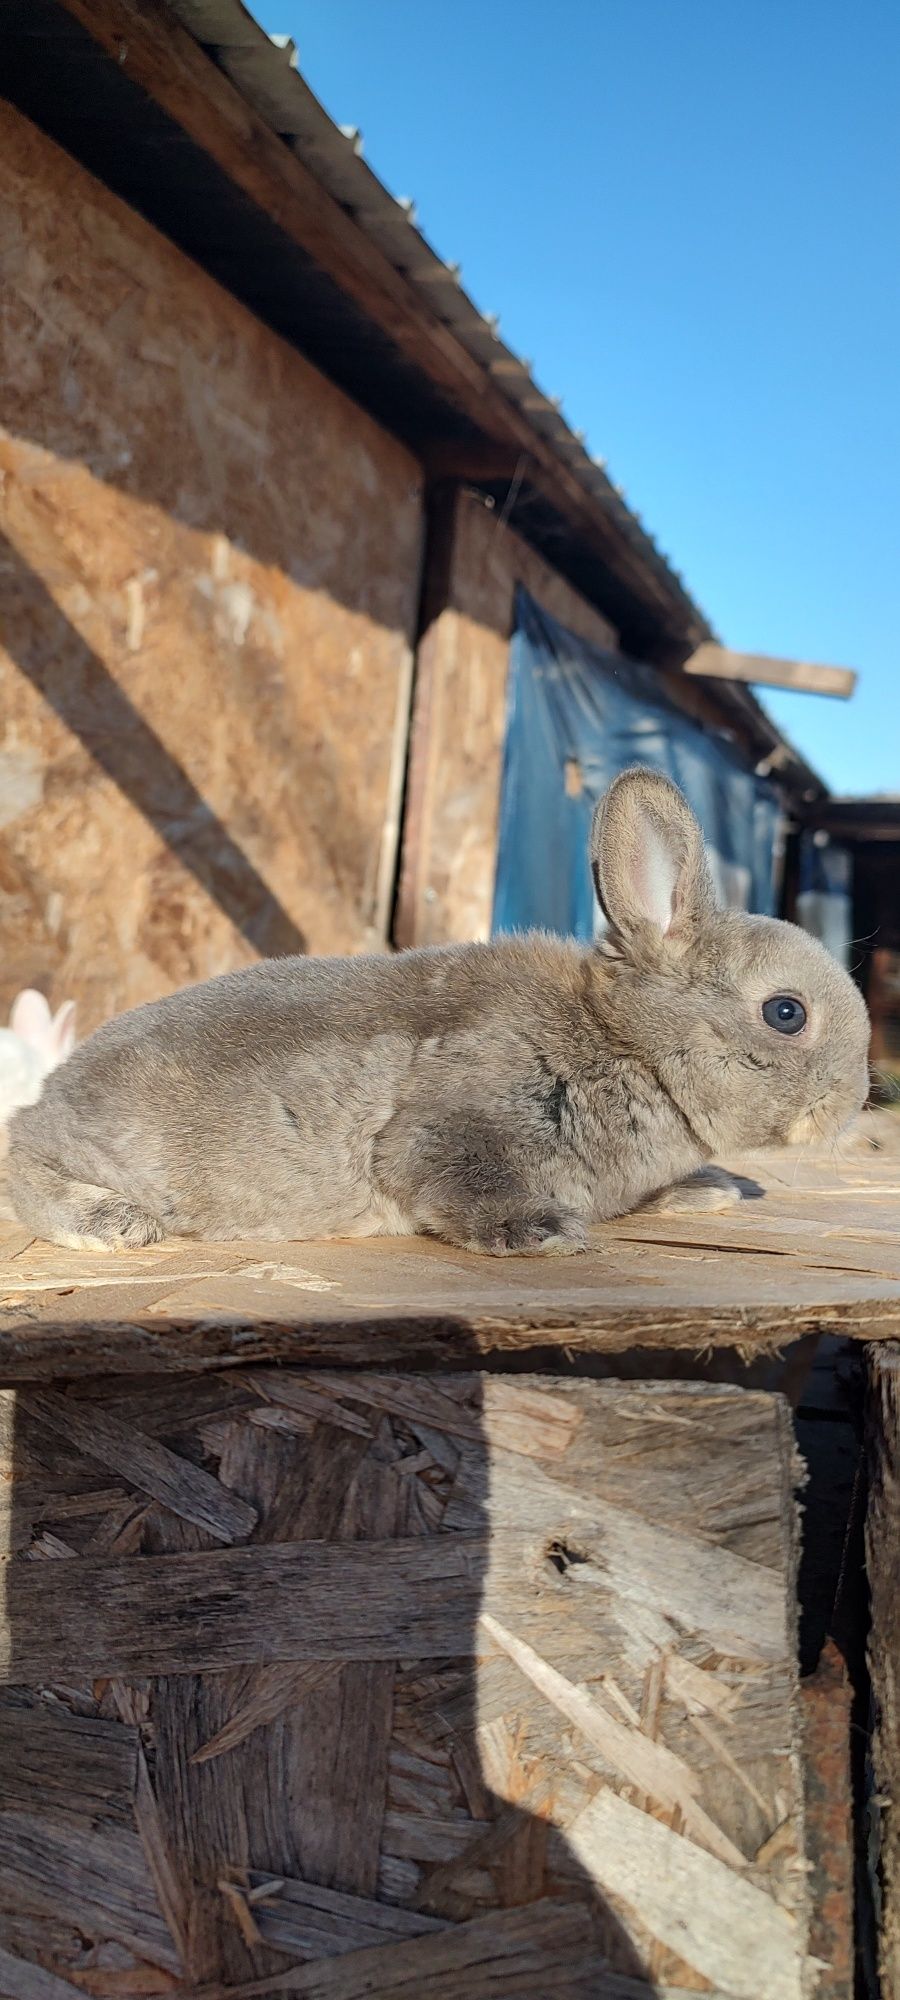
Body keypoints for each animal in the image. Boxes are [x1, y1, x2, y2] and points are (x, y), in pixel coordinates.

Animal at [3, 764, 868, 1248]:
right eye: (786, 1013)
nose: (856, 1098)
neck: (631, 1044)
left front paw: (710, 1190)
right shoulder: (456, 1123)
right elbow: (448, 1177)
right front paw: (541, 1234)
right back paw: (110, 1225)